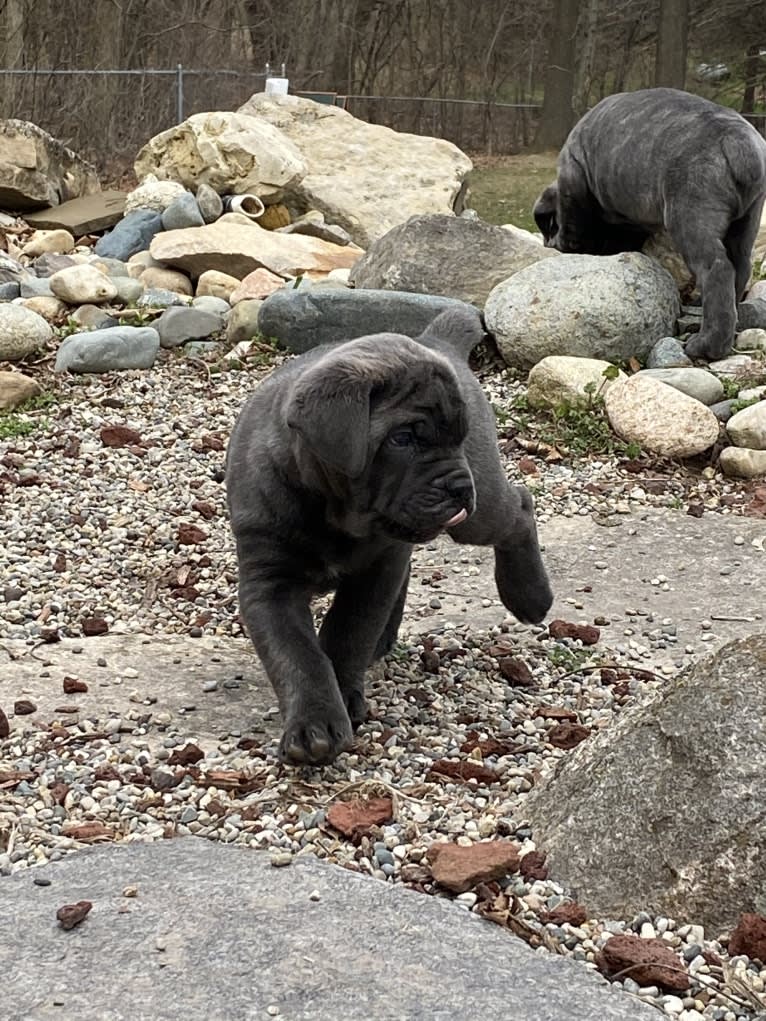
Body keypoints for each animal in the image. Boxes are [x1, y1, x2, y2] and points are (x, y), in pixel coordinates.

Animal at [224, 308, 555, 767]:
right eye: (403, 439)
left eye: (459, 437)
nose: (459, 487)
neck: (330, 510)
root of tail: (436, 339)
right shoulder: (268, 582)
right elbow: (297, 654)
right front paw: (314, 723)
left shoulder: (375, 570)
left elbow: (348, 631)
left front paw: (342, 695)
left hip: (479, 512)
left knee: (519, 508)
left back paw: (530, 596)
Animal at [535, 86, 766, 363]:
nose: (549, 242)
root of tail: (736, 140)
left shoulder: (574, 184)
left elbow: (575, 230)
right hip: (747, 220)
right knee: (740, 267)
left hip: (689, 216)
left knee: (716, 270)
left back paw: (706, 346)